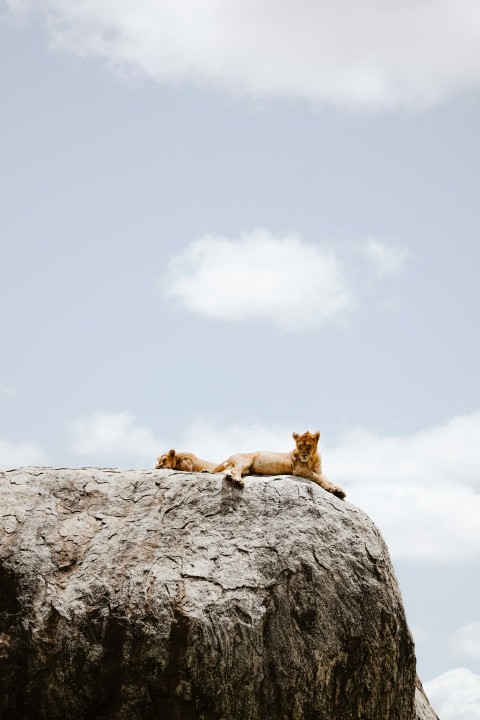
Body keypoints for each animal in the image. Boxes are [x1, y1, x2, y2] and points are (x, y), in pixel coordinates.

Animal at [211, 430, 344, 498]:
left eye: (309, 446)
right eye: (299, 446)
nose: (303, 455)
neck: (312, 458)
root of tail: (230, 455)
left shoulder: (319, 471)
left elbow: (327, 479)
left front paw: (339, 490)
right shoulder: (300, 470)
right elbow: (319, 478)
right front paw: (332, 489)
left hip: (246, 468)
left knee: (228, 470)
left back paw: (229, 477)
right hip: (246, 460)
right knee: (235, 470)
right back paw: (238, 480)